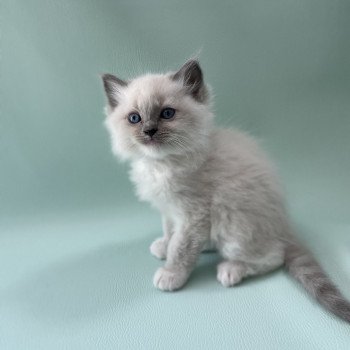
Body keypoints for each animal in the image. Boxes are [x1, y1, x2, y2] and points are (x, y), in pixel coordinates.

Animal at [102, 59, 350, 322]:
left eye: (167, 113)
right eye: (135, 118)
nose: (149, 130)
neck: (162, 164)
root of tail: (284, 227)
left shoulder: (194, 216)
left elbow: (181, 248)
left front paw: (171, 274)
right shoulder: (169, 210)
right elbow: (170, 232)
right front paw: (164, 246)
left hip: (233, 225)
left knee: (274, 256)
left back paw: (231, 269)